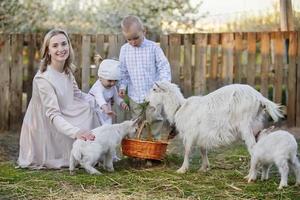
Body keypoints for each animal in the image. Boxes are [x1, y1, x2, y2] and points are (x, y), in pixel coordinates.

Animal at [145, 81, 284, 173]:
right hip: (255, 125)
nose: (146, 100)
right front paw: (204, 167)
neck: (180, 107)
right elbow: (203, 149)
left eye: (154, 89)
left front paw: (182, 169)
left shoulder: (190, 133)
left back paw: (250, 174)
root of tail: (259, 98)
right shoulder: (201, 134)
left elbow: (187, 150)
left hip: (245, 125)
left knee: (253, 147)